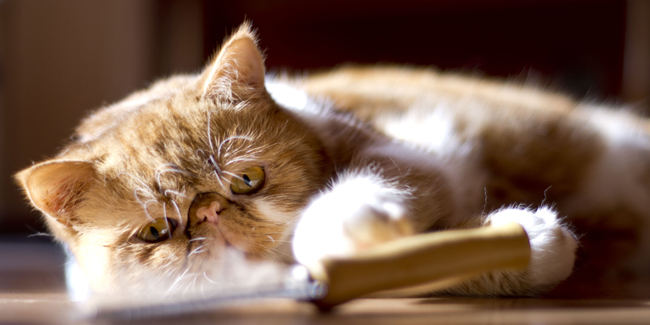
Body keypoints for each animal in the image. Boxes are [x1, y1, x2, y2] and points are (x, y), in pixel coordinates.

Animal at [13, 22, 648, 296]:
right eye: (154, 231)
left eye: (248, 179)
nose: (212, 215)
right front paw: (535, 242)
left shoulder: (413, 150)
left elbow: (364, 197)